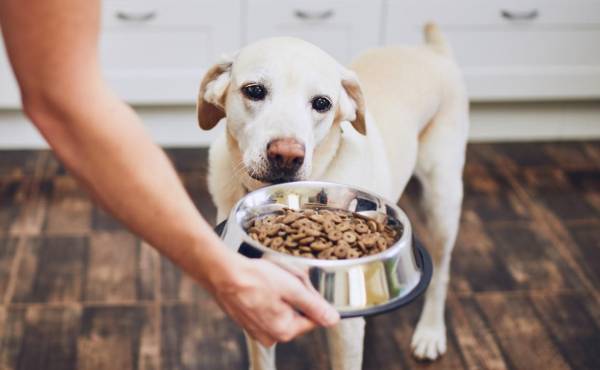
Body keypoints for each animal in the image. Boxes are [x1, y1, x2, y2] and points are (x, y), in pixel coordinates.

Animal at [197, 23, 468, 370]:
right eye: (254, 91)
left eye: (322, 103)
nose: (286, 155)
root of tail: (432, 51)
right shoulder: (258, 308)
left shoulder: (346, 330)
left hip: (442, 199)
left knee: (442, 273)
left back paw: (430, 333)